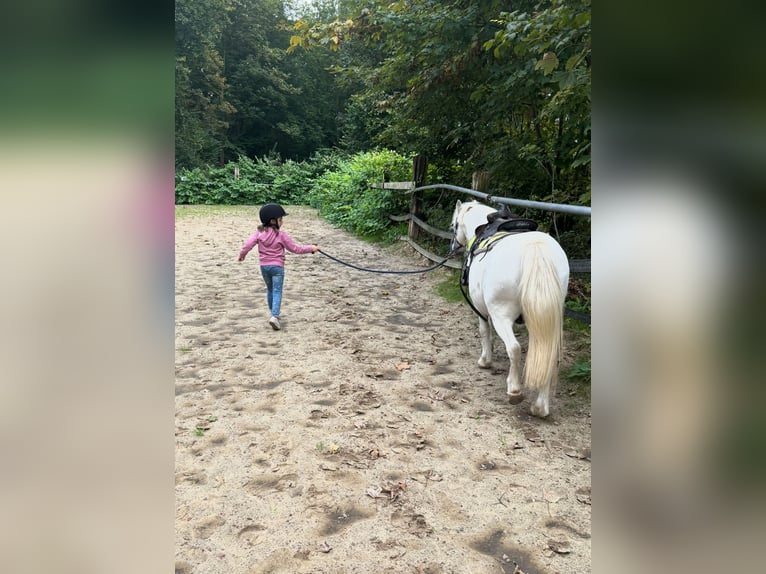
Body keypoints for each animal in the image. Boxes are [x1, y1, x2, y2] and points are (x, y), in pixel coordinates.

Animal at [450, 202, 568, 418]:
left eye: (453, 225)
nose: (453, 246)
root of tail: (535, 249)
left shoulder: (481, 309)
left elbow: (484, 331)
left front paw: (485, 361)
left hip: (501, 315)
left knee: (514, 348)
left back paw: (514, 390)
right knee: (548, 356)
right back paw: (540, 407)